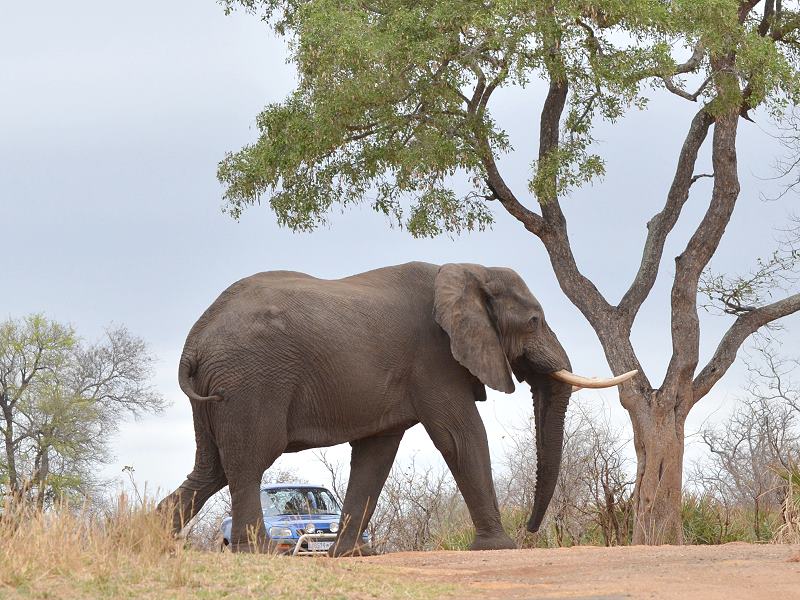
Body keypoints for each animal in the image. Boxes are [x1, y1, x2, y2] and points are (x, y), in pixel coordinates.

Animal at [155, 262, 632, 552]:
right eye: (533, 321)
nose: (530, 531)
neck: (466, 270)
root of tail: (193, 342)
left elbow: (376, 454)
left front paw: (347, 554)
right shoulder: (434, 359)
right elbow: (461, 436)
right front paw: (499, 548)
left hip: (222, 390)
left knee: (211, 468)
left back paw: (148, 538)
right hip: (252, 382)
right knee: (249, 462)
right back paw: (256, 552)